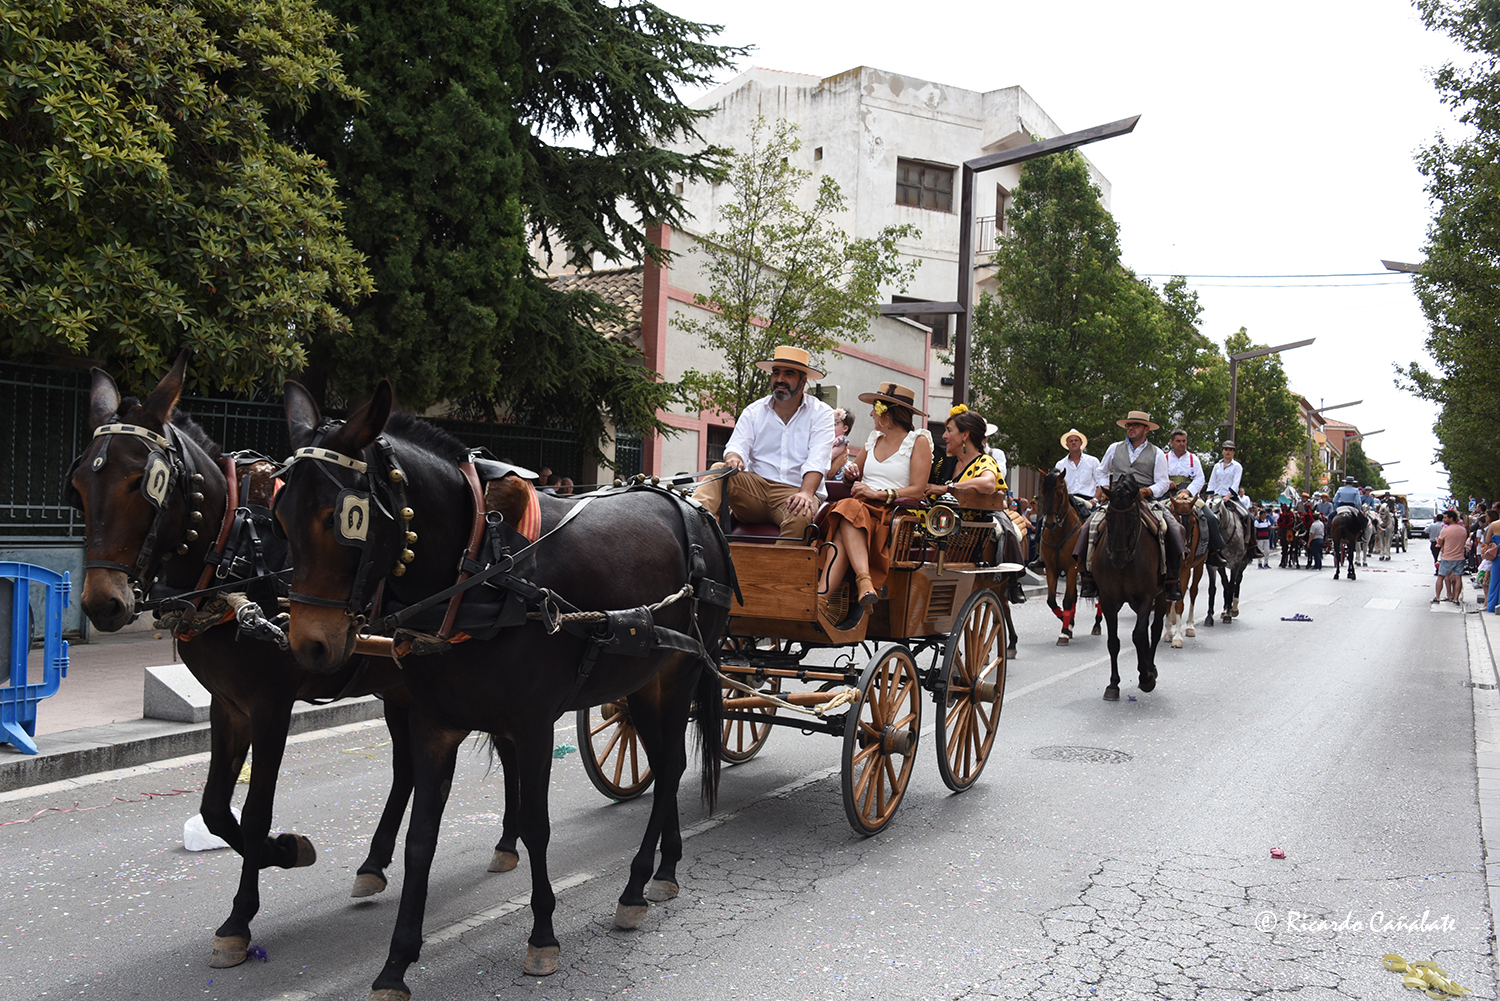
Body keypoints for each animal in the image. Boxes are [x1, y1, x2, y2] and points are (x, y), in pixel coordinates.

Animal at [67, 354, 521, 972]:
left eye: (143, 483)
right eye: (79, 486)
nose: (102, 603)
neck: (236, 552)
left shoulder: (270, 706)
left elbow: (256, 809)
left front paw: (246, 906)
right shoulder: (227, 705)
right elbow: (215, 809)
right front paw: (281, 851)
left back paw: (507, 840)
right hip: (399, 689)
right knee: (408, 770)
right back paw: (375, 864)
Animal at [274, 380, 733, 997]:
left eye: (343, 517)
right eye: (280, 513)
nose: (310, 644)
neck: (482, 574)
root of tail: (697, 508)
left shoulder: (534, 725)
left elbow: (537, 827)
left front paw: (543, 935)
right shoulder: (433, 725)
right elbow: (421, 840)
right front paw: (396, 962)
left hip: (677, 675)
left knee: (672, 769)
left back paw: (637, 884)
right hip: (641, 680)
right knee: (664, 768)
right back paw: (664, 868)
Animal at [1037, 471, 1101, 645]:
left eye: (1060, 493)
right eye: (1043, 492)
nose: (1050, 523)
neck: (1059, 533)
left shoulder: (1072, 569)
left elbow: (1066, 600)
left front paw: (1064, 633)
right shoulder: (1052, 569)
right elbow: (1052, 600)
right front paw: (1068, 624)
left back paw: (1097, 625)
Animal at [1090, 476, 1170, 701]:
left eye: (1133, 517)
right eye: (1108, 515)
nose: (1118, 558)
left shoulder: (1146, 597)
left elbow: (1139, 634)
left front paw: (1146, 677)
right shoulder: (1108, 600)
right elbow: (1114, 642)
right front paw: (1113, 684)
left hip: (1162, 596)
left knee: (1155, 629)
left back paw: (1150, 667)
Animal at [1165, 491, 1208, 648]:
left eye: (1194, 523)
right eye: (1175, 520)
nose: (1185, 552)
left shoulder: (1185, 570)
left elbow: (1179, 603)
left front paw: (1177, 637)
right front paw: (1168, 632)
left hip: (1199, 566)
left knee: (1193, 591)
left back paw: (1189, 626)